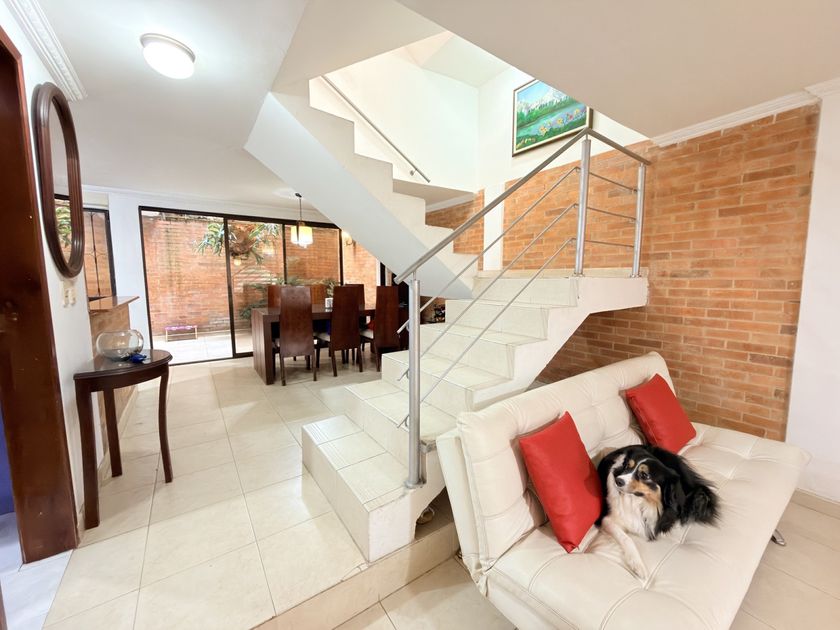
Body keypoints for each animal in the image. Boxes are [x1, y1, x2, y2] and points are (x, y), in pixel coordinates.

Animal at [595, 444, 719, 579]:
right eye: (628, 466)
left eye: (644, 475)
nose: (618, 480)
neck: (641, 502)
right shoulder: (608, 520)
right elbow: (626, 538)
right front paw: (638, 565)